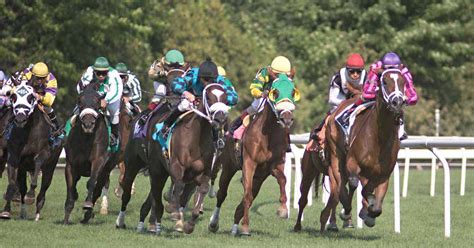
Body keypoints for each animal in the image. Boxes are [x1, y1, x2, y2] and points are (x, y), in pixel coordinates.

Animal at [0, 83, 61, 219]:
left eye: (31, 97)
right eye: (14, 96)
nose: (20, 118)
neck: (29, 130)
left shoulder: (44, 152)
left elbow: (38, 161)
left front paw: (30, 195)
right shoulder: (14, 155)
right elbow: (12, 183)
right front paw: (6, 210)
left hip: (50, 167)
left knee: (44, 188)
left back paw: (37, 212)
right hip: (23, 168)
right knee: (22, 187)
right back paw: (23, 211)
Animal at [322, 68, 408, 231]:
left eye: (403, 82)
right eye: (384, 81)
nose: (398, 103)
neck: (380, 138)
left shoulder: (383, 174)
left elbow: (376, 204)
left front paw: (369, 213)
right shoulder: (352, 163)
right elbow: (354, 184)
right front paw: (347, 211)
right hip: (337, 154)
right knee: (341, 182)